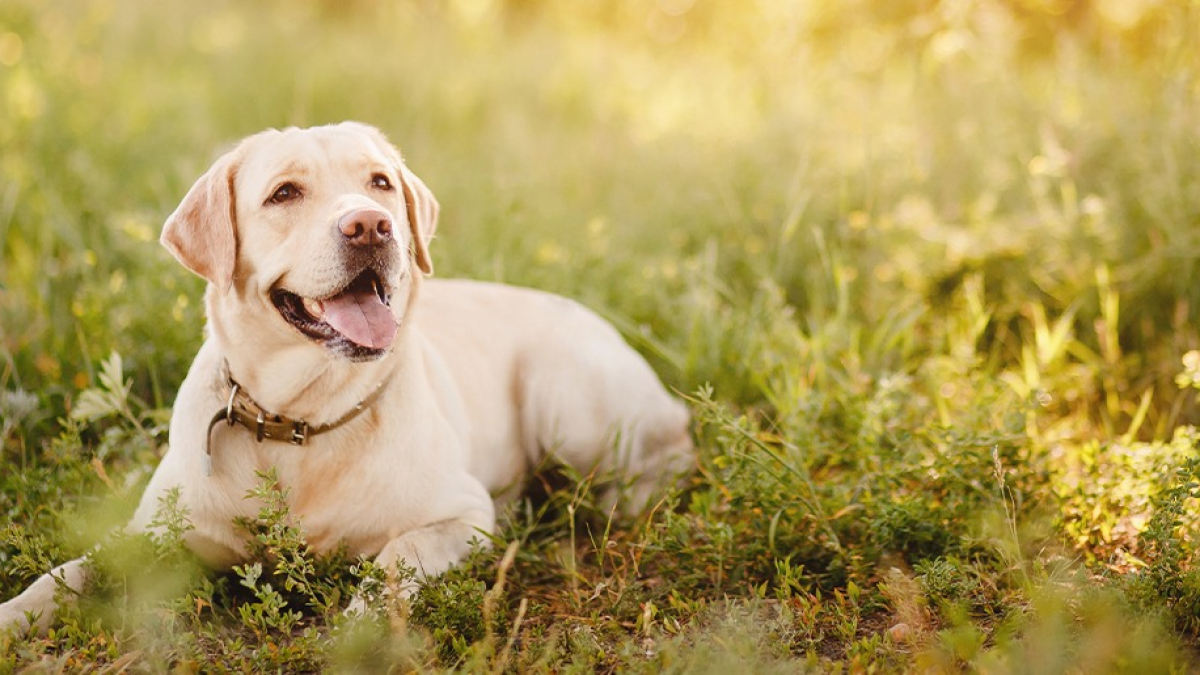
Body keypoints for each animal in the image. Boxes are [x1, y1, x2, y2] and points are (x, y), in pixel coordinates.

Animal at [0, 123, 696, 634]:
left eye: (380, 182)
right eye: (284, 193)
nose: (371, 225)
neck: (298, 421)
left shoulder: (461, 514)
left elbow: (395, 559)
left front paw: (360, 629)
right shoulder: (152, 535)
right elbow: (70, 573)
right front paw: (15, 617)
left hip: (568, 402)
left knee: (664, 460)